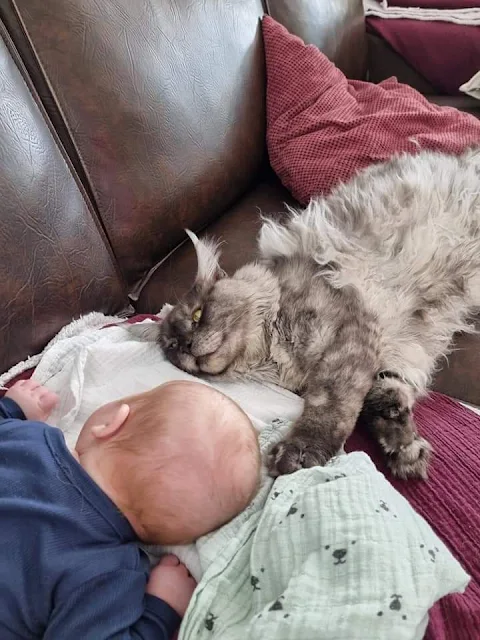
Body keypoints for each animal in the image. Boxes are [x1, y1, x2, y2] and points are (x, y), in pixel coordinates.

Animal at [158, 149, 480, 480]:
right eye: (171, 346)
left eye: (198, 315)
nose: (186, 346)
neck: (271, 358)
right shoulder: (378, 359)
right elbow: (386, 398)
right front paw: (404, 449)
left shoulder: (352, 337)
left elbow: (332, 406)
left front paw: (300, 452)